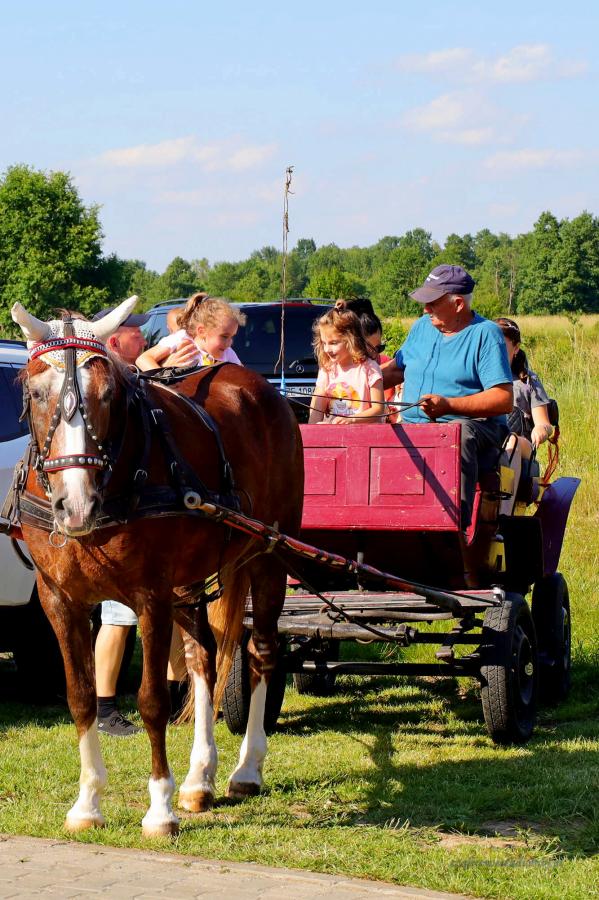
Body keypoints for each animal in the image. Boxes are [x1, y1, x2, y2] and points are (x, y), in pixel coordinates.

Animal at [11, 296, 304, 836]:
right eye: (36, 392)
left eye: (109, 395)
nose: (75, 505)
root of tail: (254, 385)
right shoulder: (58, 600)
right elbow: (80, 695)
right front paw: (88, 802)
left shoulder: (151, 597)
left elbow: (152, 700)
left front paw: (159, 807)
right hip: (189, 583)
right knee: (204, 659)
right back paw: (199, 778)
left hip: (269, 557)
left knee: (261, 652)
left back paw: (246, 768)